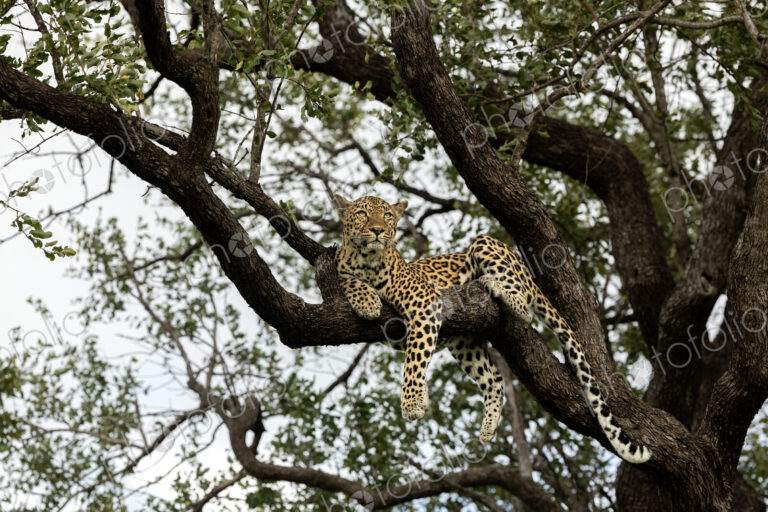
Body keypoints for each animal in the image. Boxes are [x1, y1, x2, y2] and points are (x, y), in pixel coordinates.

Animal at [334, 194, 651, 464]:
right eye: (362, 213)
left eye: (387, 215)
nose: (378, 230)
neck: (367, 262)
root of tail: (524, 265)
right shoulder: (346, 274)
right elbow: (347, 280)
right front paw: (365, 300)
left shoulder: (425, 303)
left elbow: (414, 359)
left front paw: (412, 403)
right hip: (464, 342)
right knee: (495, 379)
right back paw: (487, 430)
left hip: (485, 243)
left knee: (524, 308)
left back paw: (494, 286)